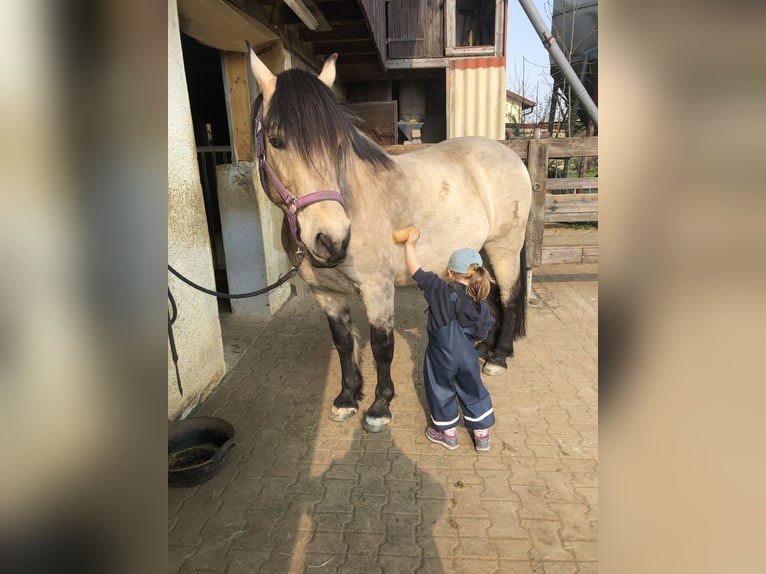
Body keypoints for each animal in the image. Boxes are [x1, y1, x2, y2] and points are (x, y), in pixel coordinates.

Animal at [249, 47, 532, 434]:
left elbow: (382, 345)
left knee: (510, 296)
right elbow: (343, 343)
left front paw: (380, 405)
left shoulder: (377, 288)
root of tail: (510, 156)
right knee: (491, 298)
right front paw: (346, 398)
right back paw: (484, 349)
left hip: (505, 247)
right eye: (276, 140)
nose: (331, 240)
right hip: (482, 251)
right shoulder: (326, 293)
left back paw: (499, 358)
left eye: (337, 145)